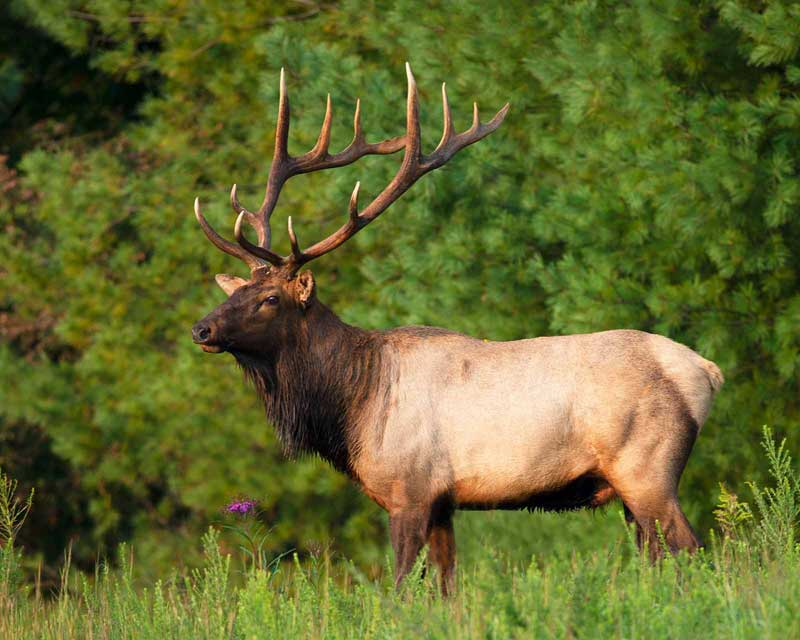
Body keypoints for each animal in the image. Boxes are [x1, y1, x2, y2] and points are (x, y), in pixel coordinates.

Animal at [192, 65, 724, 596]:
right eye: (236, 291)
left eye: (270, 299)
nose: (202, 328)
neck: (352, 406)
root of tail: (706, 371)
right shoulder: (442, 502)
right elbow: (448, 589)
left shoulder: (409, 488)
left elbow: (402, 584)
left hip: (647, 468)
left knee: (693, 550)